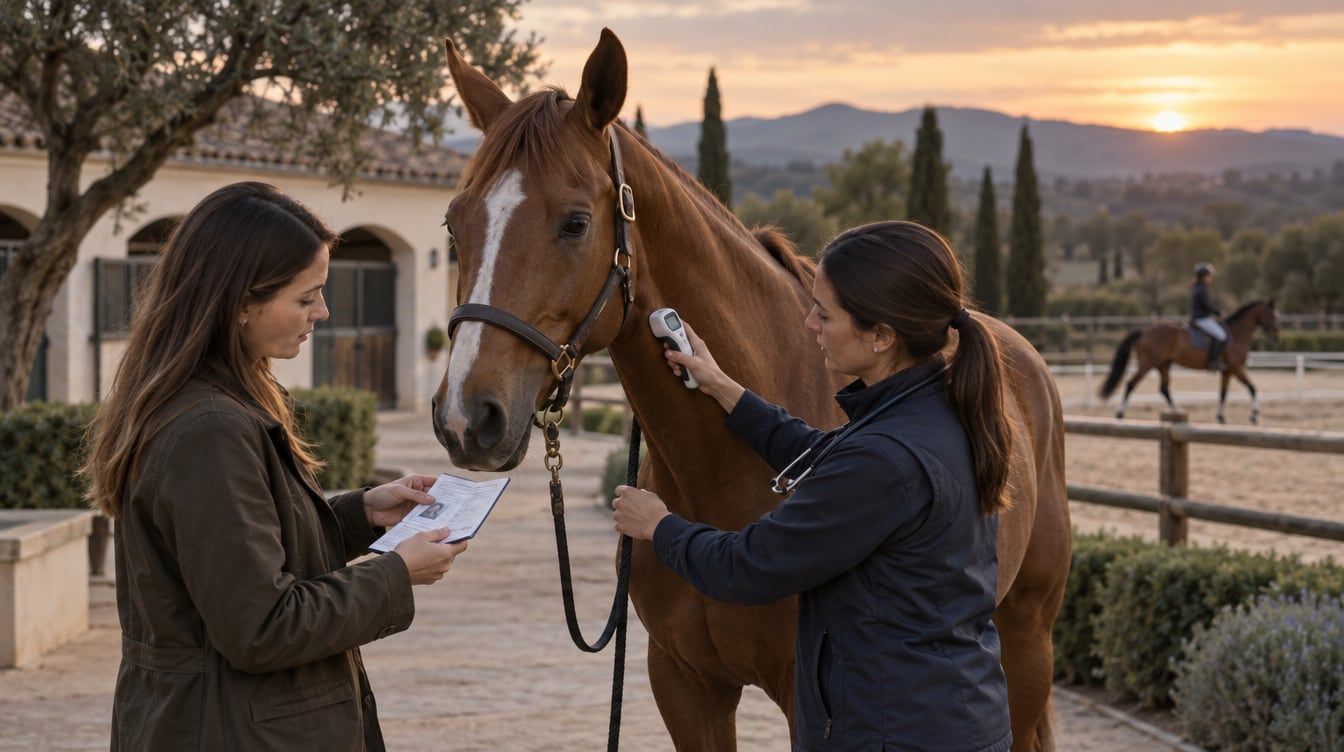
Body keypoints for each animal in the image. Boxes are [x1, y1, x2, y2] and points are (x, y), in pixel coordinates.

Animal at [431, 29, 1071, 751]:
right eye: (454, 223)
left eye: (574, 223)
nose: (468, 418)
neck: (717, 478)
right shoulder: (684, 684)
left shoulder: (806, 697)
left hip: (1027, 638)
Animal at [1098, 300, 1280, 424]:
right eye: (1272, 316)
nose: (1276, 337)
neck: (1237, 333)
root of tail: (1144, 330)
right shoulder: (1236, 368)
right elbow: (1252, 388)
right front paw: (1254, 415)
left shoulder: (1227, 371)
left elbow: (1223, 393)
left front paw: (1221, 417)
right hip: (1147, 364)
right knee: (1131, 384)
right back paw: (1120, 413)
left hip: (1164, 365)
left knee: (1164, 389)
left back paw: (1177, 412)